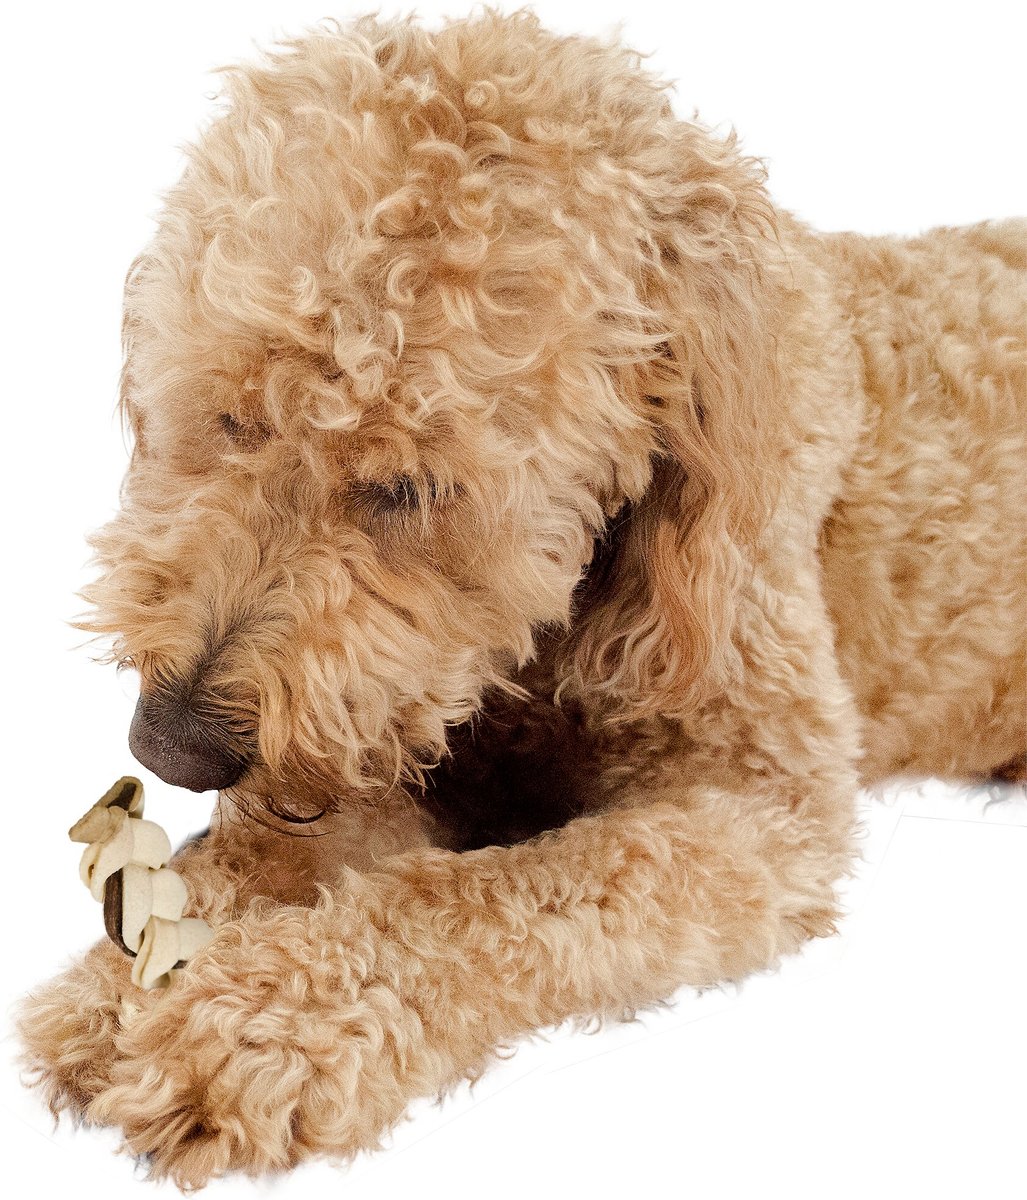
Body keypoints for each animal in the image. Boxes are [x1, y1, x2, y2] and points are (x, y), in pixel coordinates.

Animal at [18, 9, 1027, 1185]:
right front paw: (134, 970)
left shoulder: (759, 802)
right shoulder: (389, 724)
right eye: (231, 417)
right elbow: (288, 835)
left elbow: (481, 894)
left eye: (408, 487)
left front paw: (263, 1026)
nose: (169, 743)